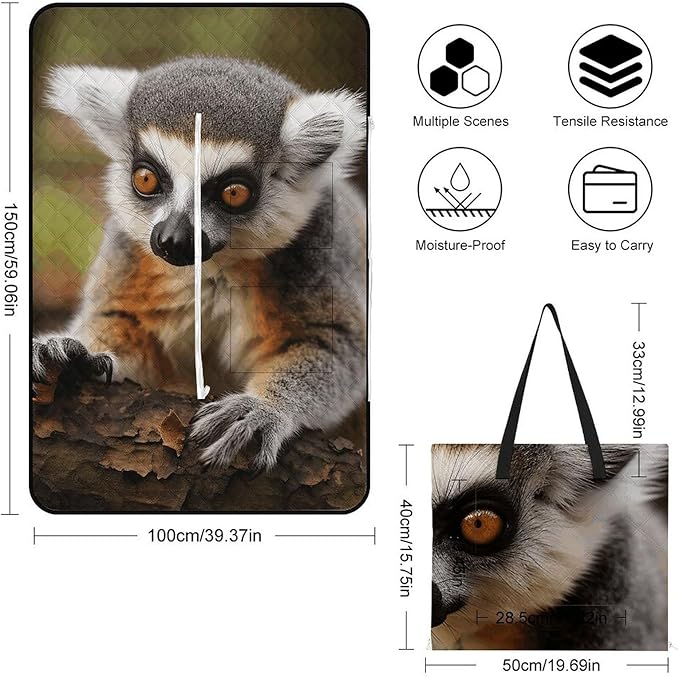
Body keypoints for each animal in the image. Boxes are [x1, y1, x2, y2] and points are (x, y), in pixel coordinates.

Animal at [32, 57, 367, 471]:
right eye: (146, 178)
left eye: (233, 193)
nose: (173, 241)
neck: (213, 269)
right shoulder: (130, 253)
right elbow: (125, 324)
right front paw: (77, 353)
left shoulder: (319, 247)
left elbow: (335, 343)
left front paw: (263, 407)